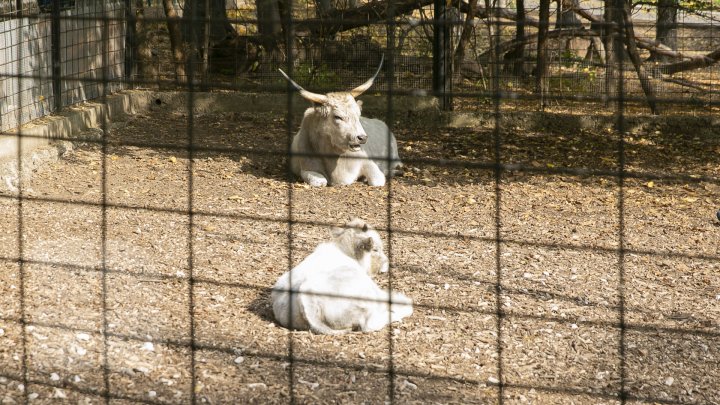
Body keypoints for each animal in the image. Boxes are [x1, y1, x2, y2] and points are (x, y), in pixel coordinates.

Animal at [278, 56, 402, 187]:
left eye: (358, 114)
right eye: (337, 117)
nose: (362, 137)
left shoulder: (369, 163)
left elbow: (377, 180)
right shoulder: (307, 169)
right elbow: (320, 181)